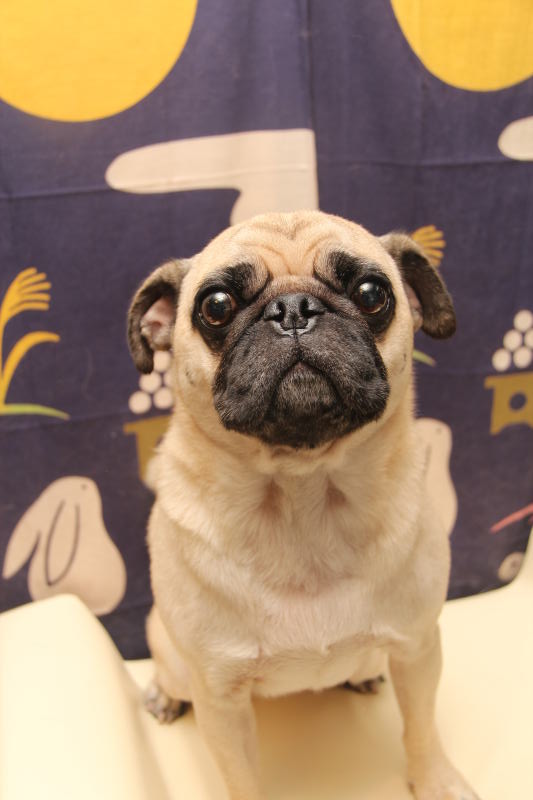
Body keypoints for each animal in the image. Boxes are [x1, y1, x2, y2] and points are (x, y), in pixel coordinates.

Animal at [127, 211, 480, 800]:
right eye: (216, 306)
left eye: (371, 294)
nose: (293, 309)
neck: (304, 495)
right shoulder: (221, 699)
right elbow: (241, 779)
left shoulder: (417, 649)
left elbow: (421, 729)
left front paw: (436, 782)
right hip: (174, 654)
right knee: (170, 672)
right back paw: (163, 694)